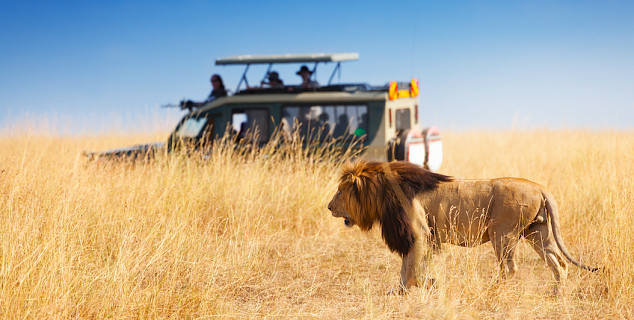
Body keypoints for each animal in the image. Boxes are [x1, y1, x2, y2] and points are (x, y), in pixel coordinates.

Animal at [326, 161, 596, 292]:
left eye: (339, 192)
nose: (329, 207)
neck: (383, 194)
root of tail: (540, 187)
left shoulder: (419, 234)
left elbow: (410, 268)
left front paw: (420, 287)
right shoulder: (423, 237)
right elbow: (408, 268)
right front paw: (405, 290)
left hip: (502, 233)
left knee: (510, 269)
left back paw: (491, 290)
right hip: (537, 233)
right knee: (559, 264)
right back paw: (557, 295)